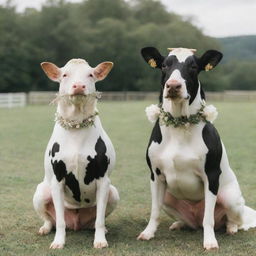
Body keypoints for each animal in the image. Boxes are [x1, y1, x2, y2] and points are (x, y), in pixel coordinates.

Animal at [32, 58, 119, 248]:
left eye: (90, 74)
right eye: (65, 74)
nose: (78, 85)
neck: (77, 127)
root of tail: (76, 223)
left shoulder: (103, 181)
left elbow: (100, 219)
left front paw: (100, 240)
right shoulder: (57, 181)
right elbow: (60, 221)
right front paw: (59, 242)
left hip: (113, 193)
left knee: (97, 219)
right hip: (41, 193)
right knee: (51, 219)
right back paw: (46, 228)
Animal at [137, 47, 256, 249]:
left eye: (193, 67)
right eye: (164, 65)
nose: (173, 85)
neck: (179, 124)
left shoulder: (211, 176)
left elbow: (209, 218)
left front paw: (210, 241)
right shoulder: (155, 175)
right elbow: (154, 210)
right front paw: (148, 232)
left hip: (230, 197)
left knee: (230, 219)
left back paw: (231, 228)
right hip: (169, 197)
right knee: (188, 220)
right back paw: (179, 223)